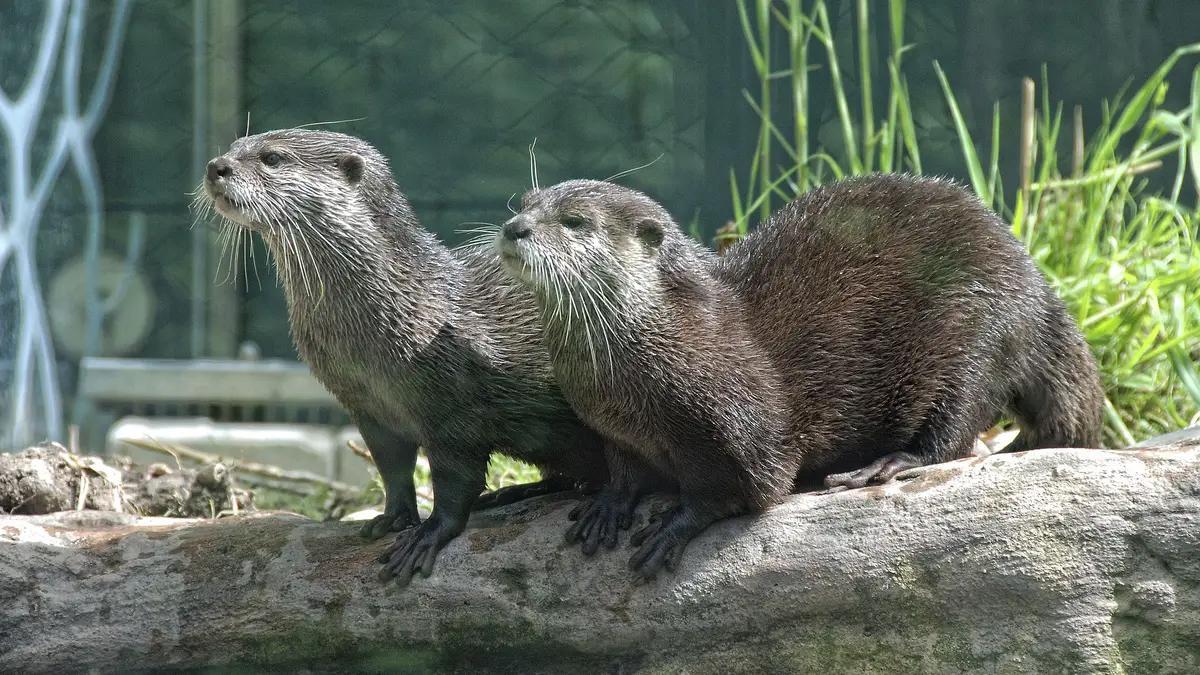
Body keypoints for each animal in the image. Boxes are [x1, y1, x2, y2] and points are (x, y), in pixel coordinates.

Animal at [200, 130, 614, 583]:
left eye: (272, 158)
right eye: (235, 145)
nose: (216, 166)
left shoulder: (454, 412)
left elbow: (456, 480)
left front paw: (429, 533)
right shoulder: (367, 408)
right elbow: (392, 468)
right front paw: (392, 519)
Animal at [499, 176, 1104, 576]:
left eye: (576, 222)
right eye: (524, 203)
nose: (514, 227)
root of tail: (1036, 287)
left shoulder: (742, 424)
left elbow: (744, 488)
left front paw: (675, 525)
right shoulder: (613, 429)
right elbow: (624, 472)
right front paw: (609, 506)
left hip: (978, 335)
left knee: (954, 431)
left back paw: (883, 465)